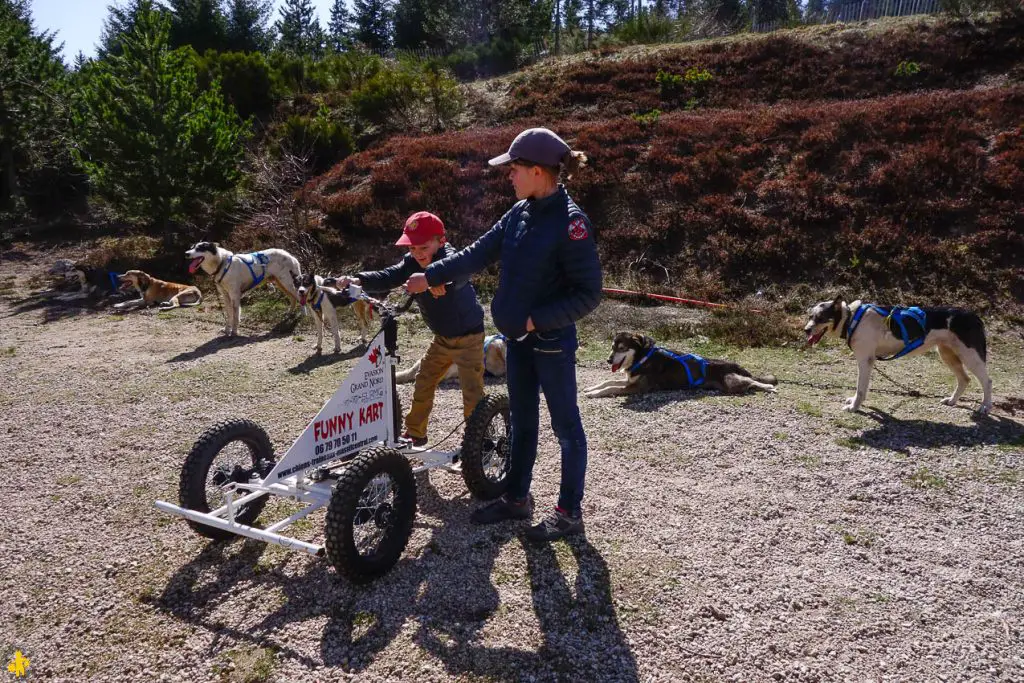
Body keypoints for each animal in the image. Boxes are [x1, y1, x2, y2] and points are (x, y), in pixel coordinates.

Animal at [585, 331, 774, 397]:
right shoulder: (629, 380)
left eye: (622, 348)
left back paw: (769, 387)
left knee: (753, 381)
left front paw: (594, 393)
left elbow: (611, 388)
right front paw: (591, 388)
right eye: (612, 347)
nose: (609, 360)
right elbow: (608, 382)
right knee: (749, 383)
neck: (642, 357)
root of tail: (732, 364)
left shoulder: (638, 387)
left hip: (731, 382)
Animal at [798, 292, 991, 411]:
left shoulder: (865, 361)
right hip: (948, 355)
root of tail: (975, 316)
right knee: (964, 379)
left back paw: (985, 406)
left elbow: (860, 389)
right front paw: (855, 403)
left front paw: (854, 407)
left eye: (820, 318)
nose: (806, 330)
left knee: (987, 381)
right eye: (810, 317)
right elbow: (861, 389)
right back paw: (952, 401)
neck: (851, 319)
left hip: (970, 356)